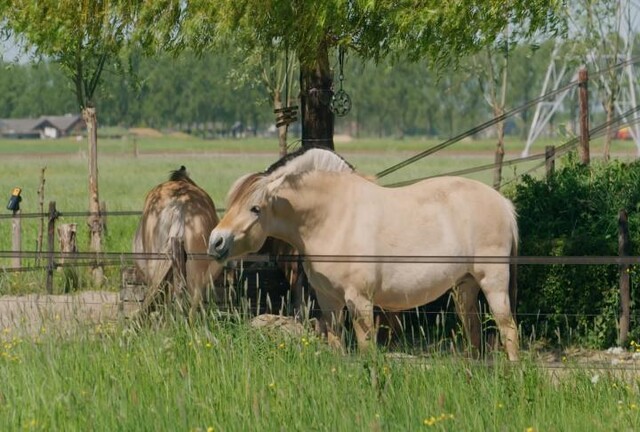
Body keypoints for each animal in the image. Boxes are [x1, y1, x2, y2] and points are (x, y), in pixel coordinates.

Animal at [207, 148, 519, 360]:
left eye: (255, 208)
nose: (215, 242)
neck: (333, 216)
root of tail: (503, 203)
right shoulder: (330, 302)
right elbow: (337, 346)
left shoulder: (360, 301)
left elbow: (366, 349)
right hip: (465, 286)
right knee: (474, 333)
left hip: (492, 283)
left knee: (509, 330)